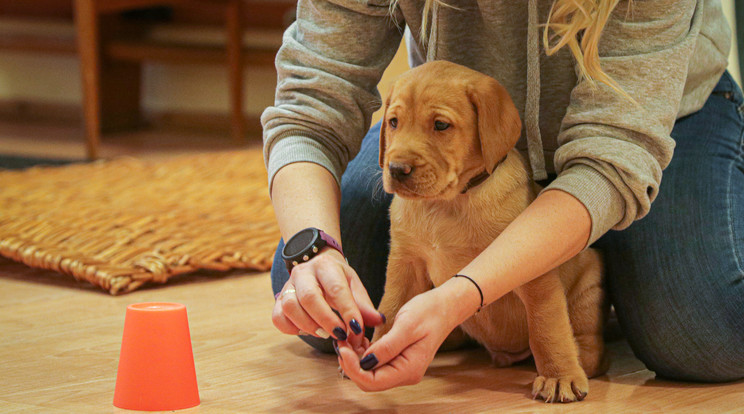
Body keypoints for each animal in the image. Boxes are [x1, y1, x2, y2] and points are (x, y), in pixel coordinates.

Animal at [374, 59, 608, 402]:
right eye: (393, 122)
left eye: (441, 125)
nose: (396, 170)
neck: (447, 205)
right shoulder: (405, 265)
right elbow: (390, 309)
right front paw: (376, 348)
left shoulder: (534, 271)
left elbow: (547, 327)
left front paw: (559, 375)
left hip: (588, 284)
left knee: (588, 341)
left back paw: (582, 359)